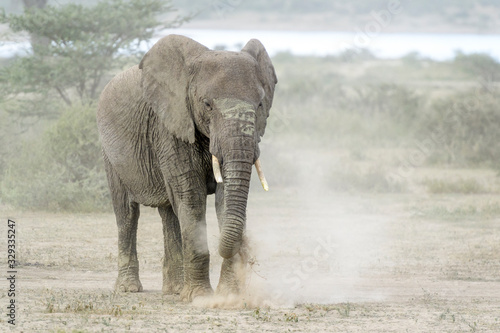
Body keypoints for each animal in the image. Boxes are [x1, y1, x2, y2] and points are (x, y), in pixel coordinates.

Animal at [96, 34, 278, 300]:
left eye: (260, 105)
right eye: (207, 104)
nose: (248, 252)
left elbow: (224, 199)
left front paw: (229, 296)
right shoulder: (170, 127)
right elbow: (191, 198)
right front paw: (200, 297)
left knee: (168, 213)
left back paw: (174, 290)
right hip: (110, 152)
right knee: (127, 212)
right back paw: (130, 288)